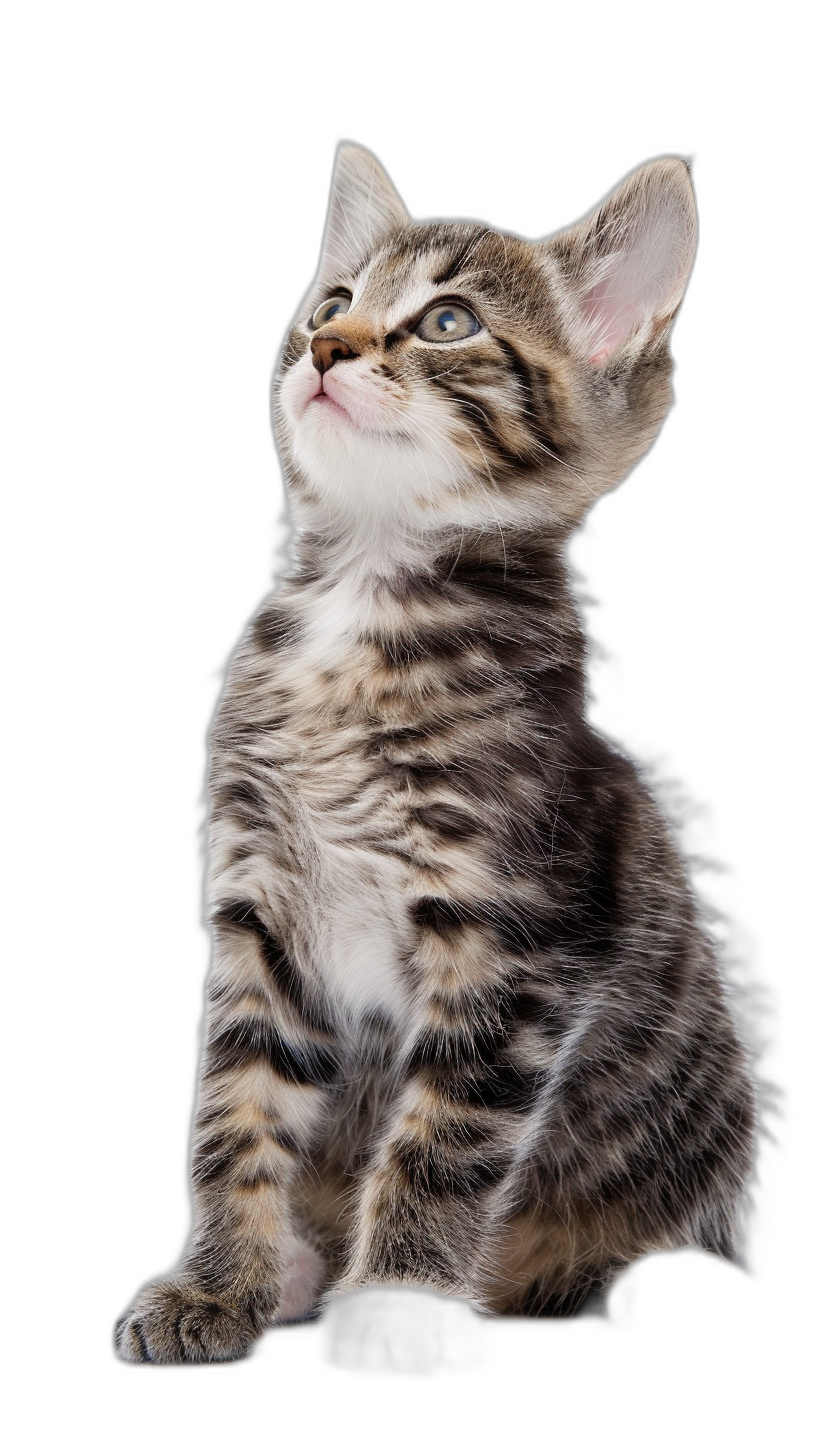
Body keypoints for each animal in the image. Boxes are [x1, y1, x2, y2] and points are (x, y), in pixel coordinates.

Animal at [112, 141, 757, 1356]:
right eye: (330, 304)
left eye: (447, 322)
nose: (326, 347)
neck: (364, 603)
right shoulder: (263, 911)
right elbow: (235, 1115)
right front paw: (220, 1287)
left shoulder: (516, 946)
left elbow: (441, 1145)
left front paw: (400, 1301)